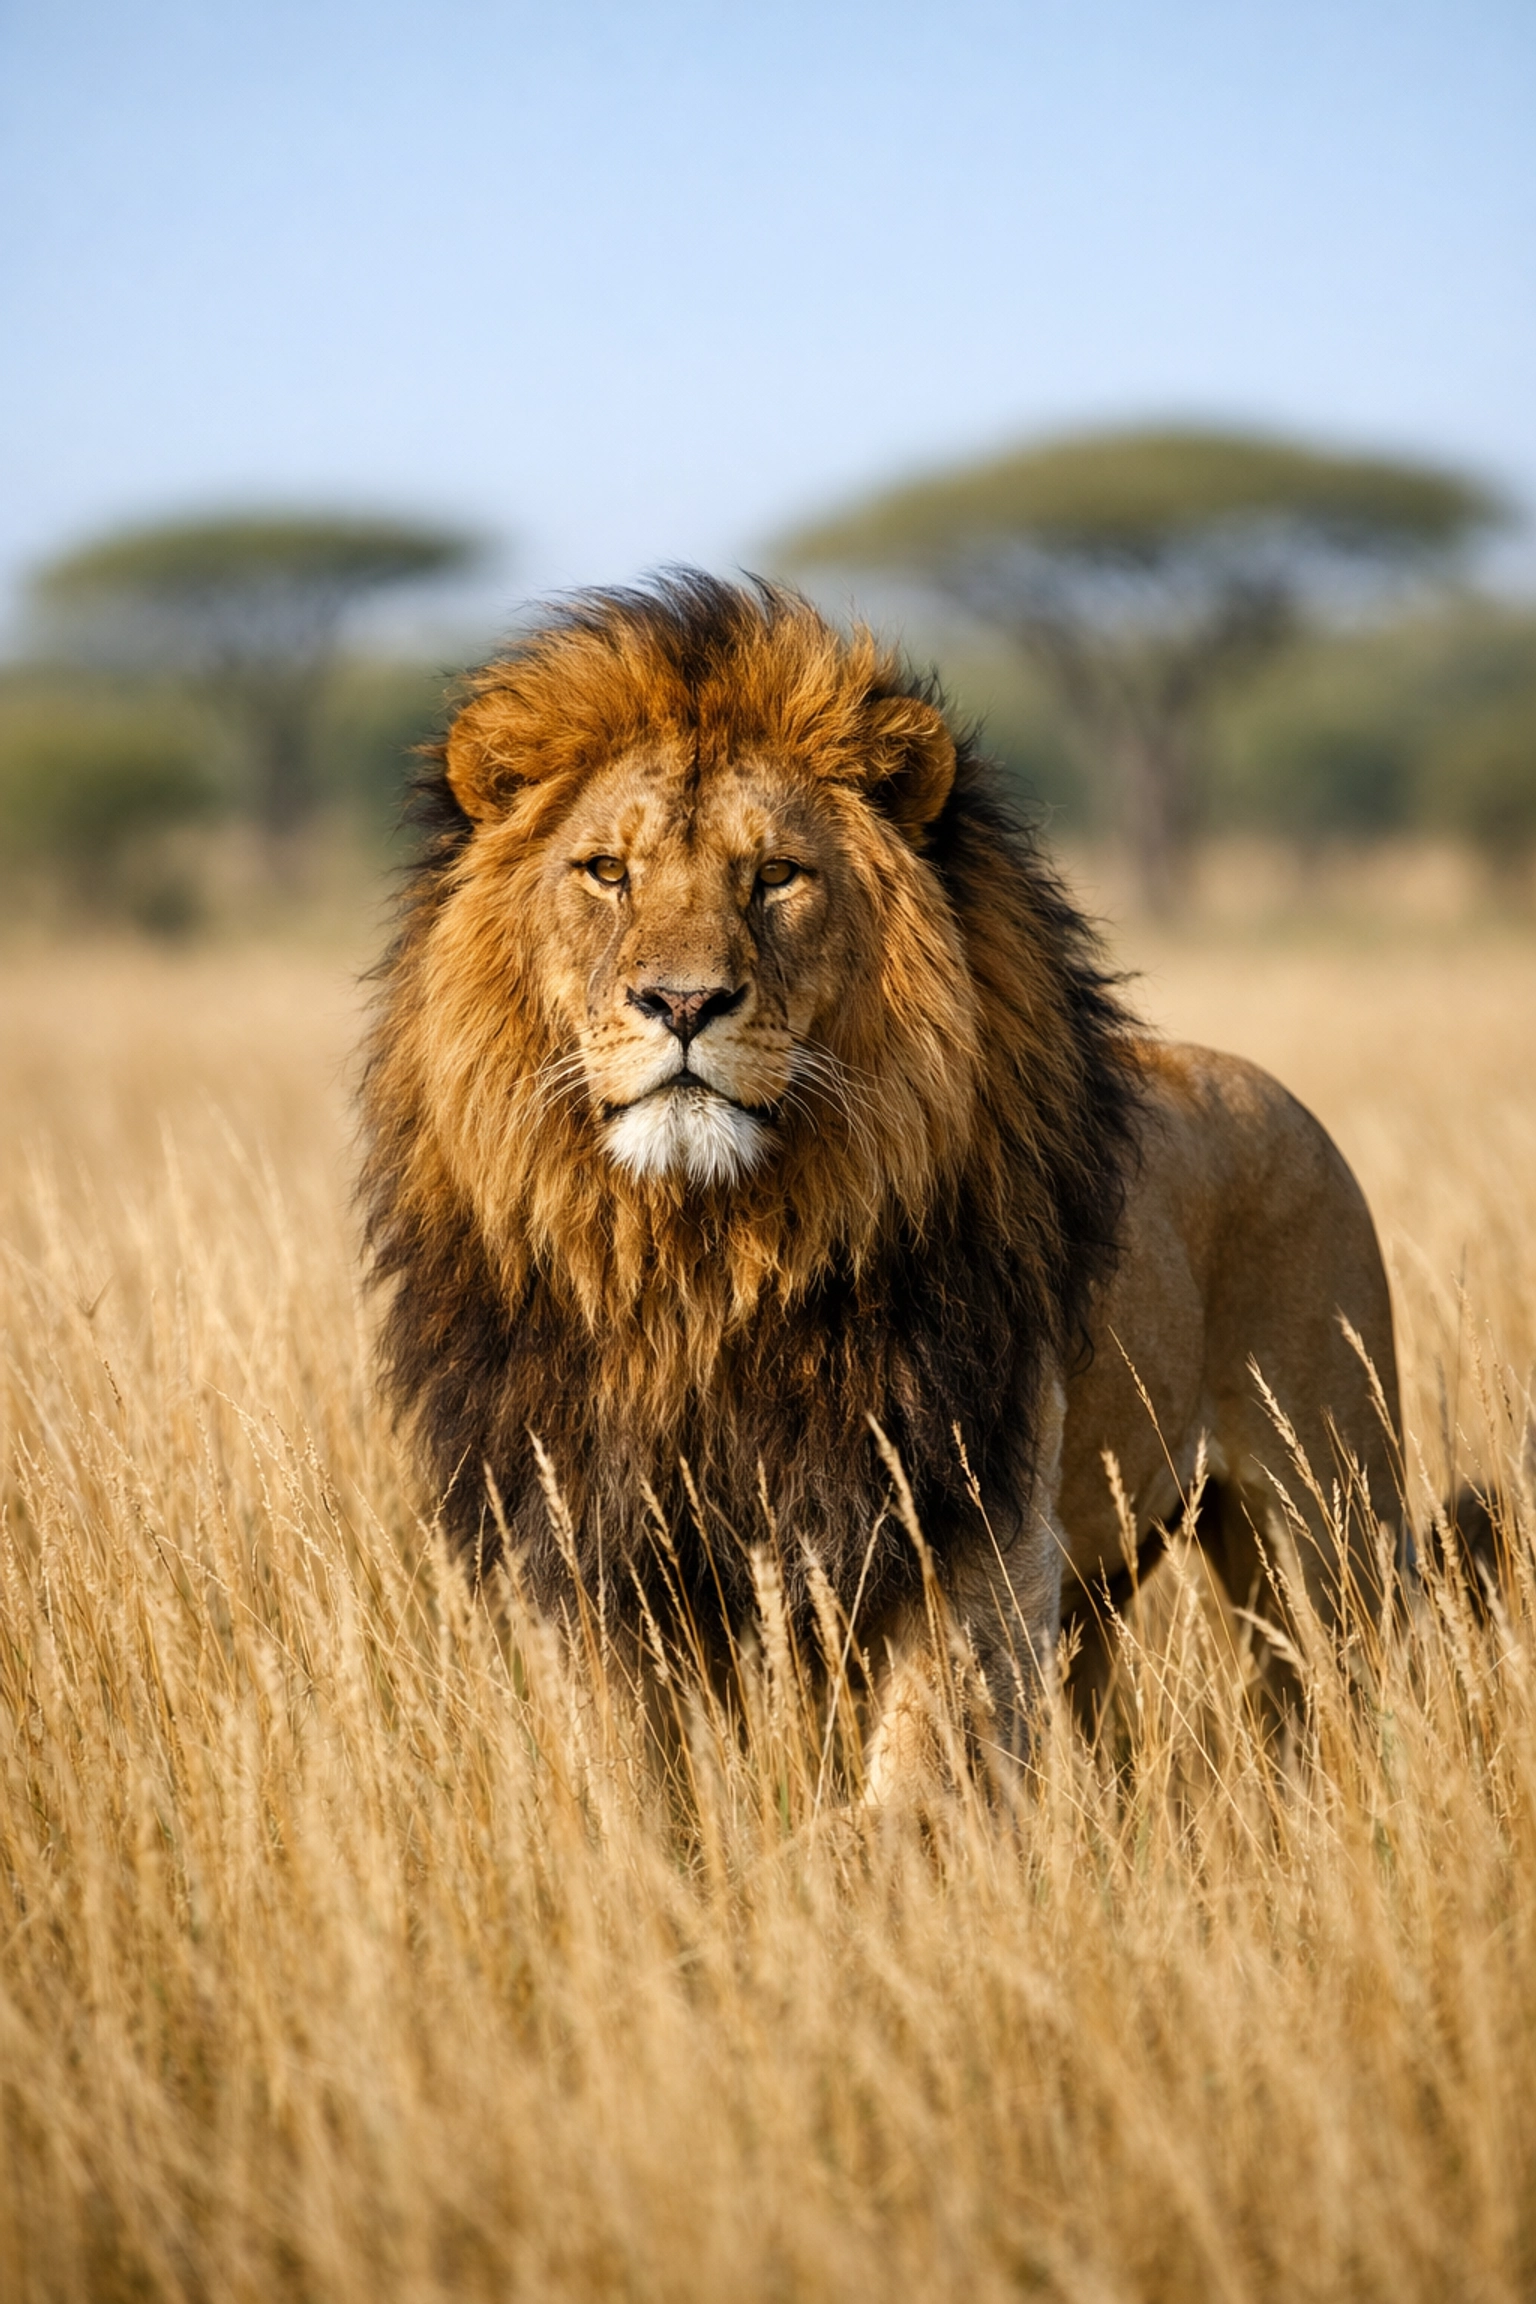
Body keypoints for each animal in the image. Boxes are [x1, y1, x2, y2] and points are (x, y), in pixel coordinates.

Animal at [361, 573, 1401, 1773]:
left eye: (775, 876)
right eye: (607, 873)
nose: (682, 1003)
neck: (703, 1262)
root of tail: (1275, 1092)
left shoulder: (975, 1525)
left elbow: (918, 1777)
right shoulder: (590, 1550)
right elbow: (629, 1780)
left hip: (1327, 1527)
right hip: (1104, 1593)